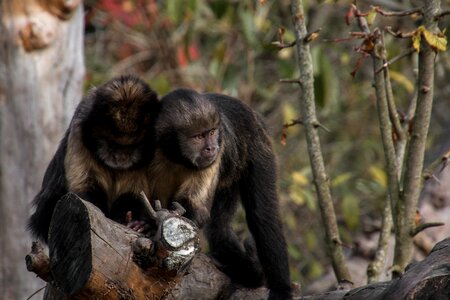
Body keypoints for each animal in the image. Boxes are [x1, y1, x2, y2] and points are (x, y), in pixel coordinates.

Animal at [27, 75, 158, 244]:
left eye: (132, 147)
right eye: (111, 144)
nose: (120, 157)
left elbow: (135, 192)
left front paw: (138, 223)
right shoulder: (80, 128)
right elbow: (84, 185)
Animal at [151, 89, 292, 300]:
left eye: (210, 133)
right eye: (198, 137)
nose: (210, 147)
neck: (176, 154)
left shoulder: (218, 150)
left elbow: (197, 209)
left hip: (258, 146)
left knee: (262, 215)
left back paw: (278, 287)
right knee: (220, 226)